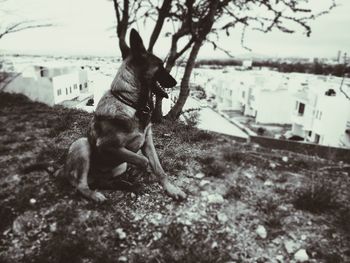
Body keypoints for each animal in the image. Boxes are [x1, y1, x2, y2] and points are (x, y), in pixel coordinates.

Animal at [60, 28, 186, 202]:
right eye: (160, 66)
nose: (175, 82)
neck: (131, 103)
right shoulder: (107, 146)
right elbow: (143, 160)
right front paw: (140, 172)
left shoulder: (147, 142)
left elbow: (158, 168)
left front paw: (171, 189)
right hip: (82, 144)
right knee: (81, 185)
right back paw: (96, 194)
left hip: (119, 166)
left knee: (102, 181)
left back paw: (122, 184)